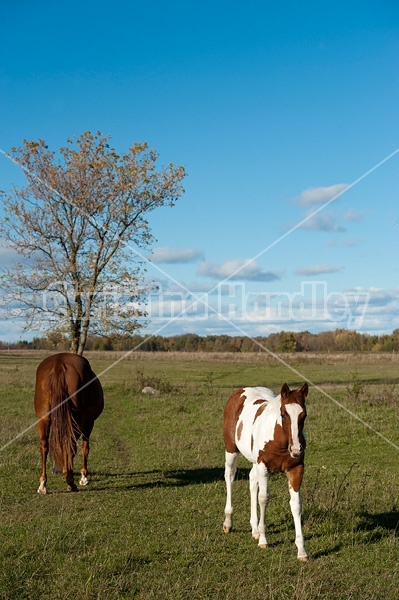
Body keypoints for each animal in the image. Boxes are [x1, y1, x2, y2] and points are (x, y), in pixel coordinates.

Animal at [34, 352, 104, 492]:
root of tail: (59, 363)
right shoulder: (89, 424)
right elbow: (85, 448)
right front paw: (83, 477)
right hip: (76, 422)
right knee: (70, 445)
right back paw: (70, 481)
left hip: (44, 419)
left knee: (44, 446)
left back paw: (43, 484)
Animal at [223, 382, 310, 560]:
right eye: (283, 414)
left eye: (303, 415)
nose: (296, 449)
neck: (281, 440)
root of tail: (241, 391)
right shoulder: (264, 467)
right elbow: (263, 498)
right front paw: (263, 539)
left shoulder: (296, 469)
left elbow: (296, 505)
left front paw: (301, 550)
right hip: (231, 450)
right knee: (230, 476)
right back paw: (228, 522)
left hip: (255, 462)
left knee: (251, 480)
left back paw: (254, 529)